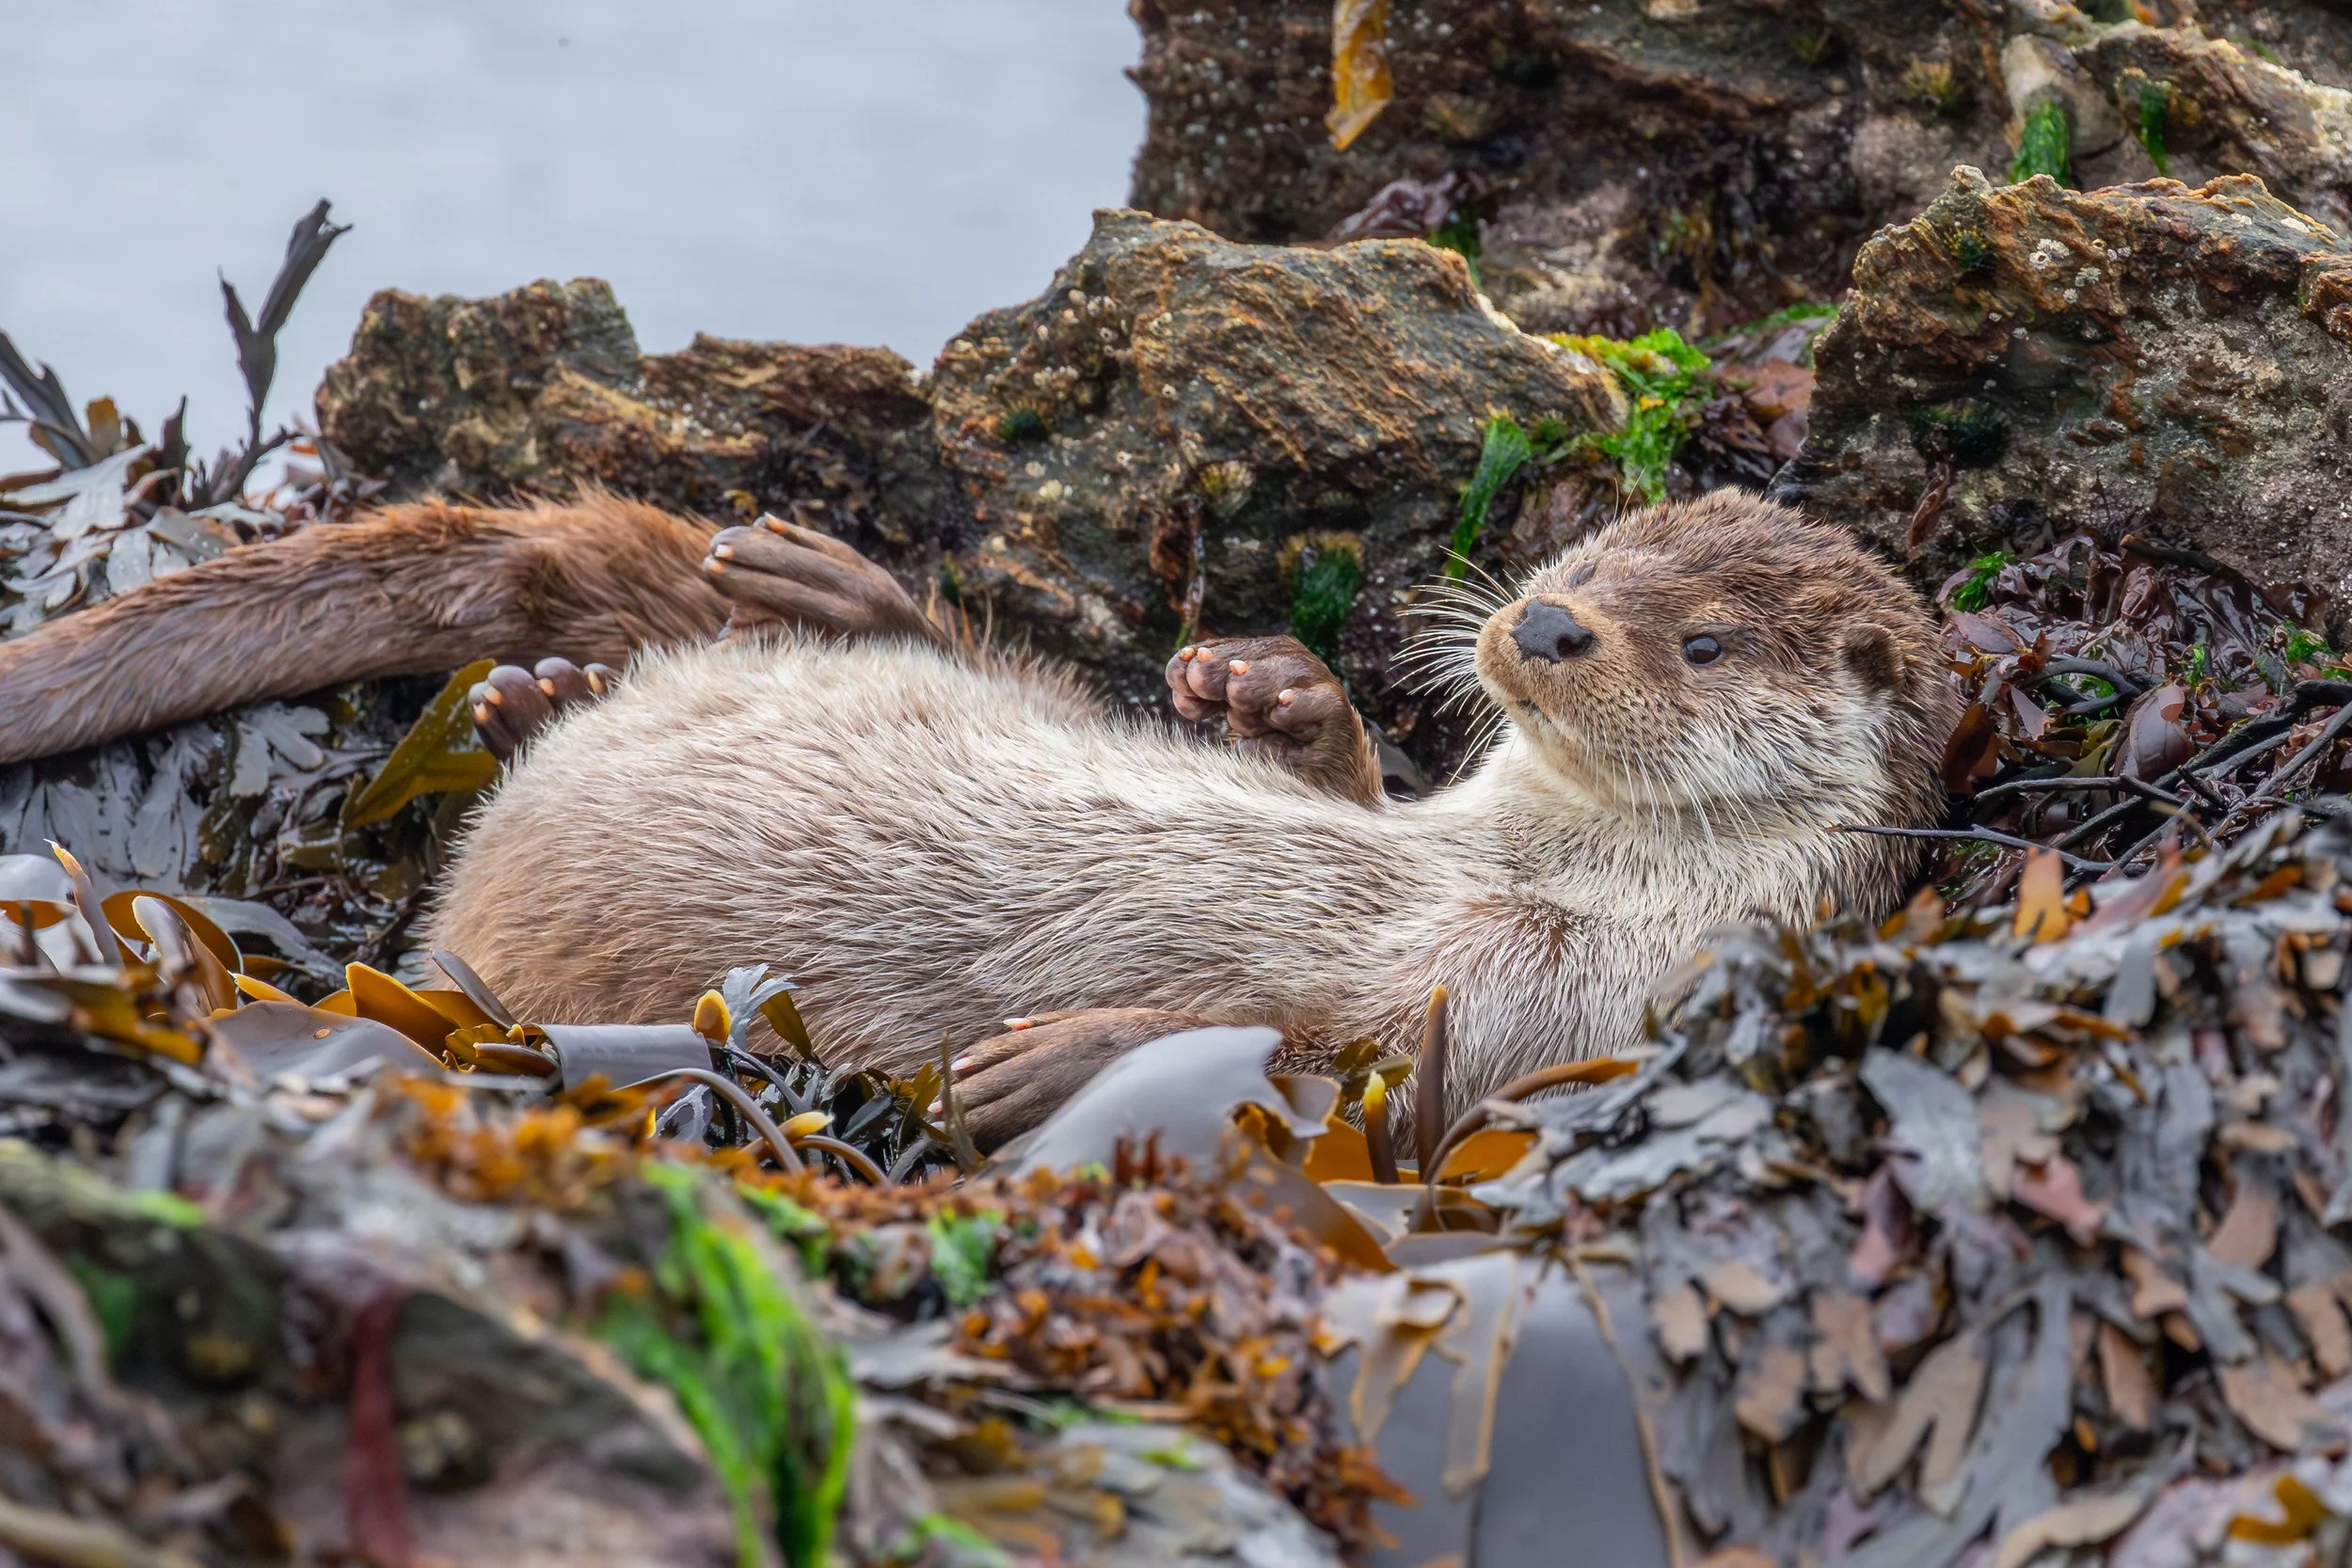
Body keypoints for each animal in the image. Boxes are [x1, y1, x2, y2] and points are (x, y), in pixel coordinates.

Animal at [0, 491, 1957, 1141]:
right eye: (1595, 551)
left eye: (1703, 639)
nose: (1544, 623)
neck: (1545, 857)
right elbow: (1333, 795)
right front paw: (1276, 695)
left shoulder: (1601, 1001)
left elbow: (1366, 1064)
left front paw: (1051, 1065)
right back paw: (805, 588)